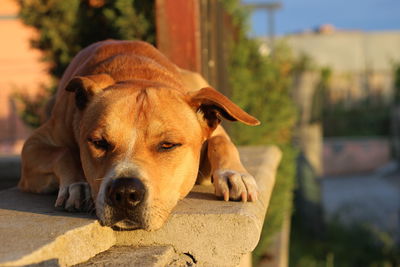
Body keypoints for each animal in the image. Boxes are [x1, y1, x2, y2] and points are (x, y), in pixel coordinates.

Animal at [18, 40, 260, 231]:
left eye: (168, 145)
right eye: (98, 142)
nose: (125, 192)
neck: (137, 73)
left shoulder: (214, 134)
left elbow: (220, 141)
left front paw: (234, 175)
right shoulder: (32, 147)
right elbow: (62, 152)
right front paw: (76, 184)